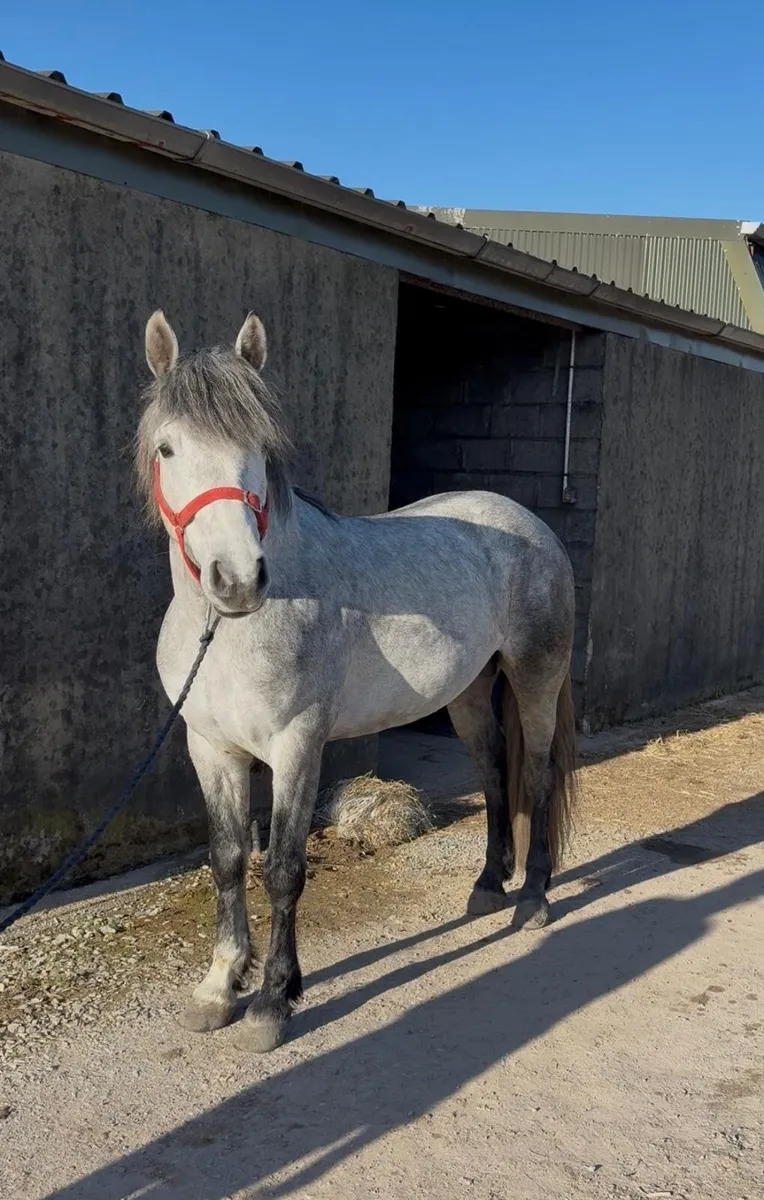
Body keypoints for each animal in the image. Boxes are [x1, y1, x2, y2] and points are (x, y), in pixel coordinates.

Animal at [137, 309, 578, 1053]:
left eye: (260, 448)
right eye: (168, 448)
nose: (237, 579)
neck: (228, 632)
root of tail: (530, 525)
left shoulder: (296, 746)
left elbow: (283, 868)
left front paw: (272, 1003)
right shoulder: (210, 747)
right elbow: (227, 858)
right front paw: (220, 988)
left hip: (534, 677)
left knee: (537, 776)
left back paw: (534, 899)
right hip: (465, 694)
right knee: (494, 773)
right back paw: (489, 886)